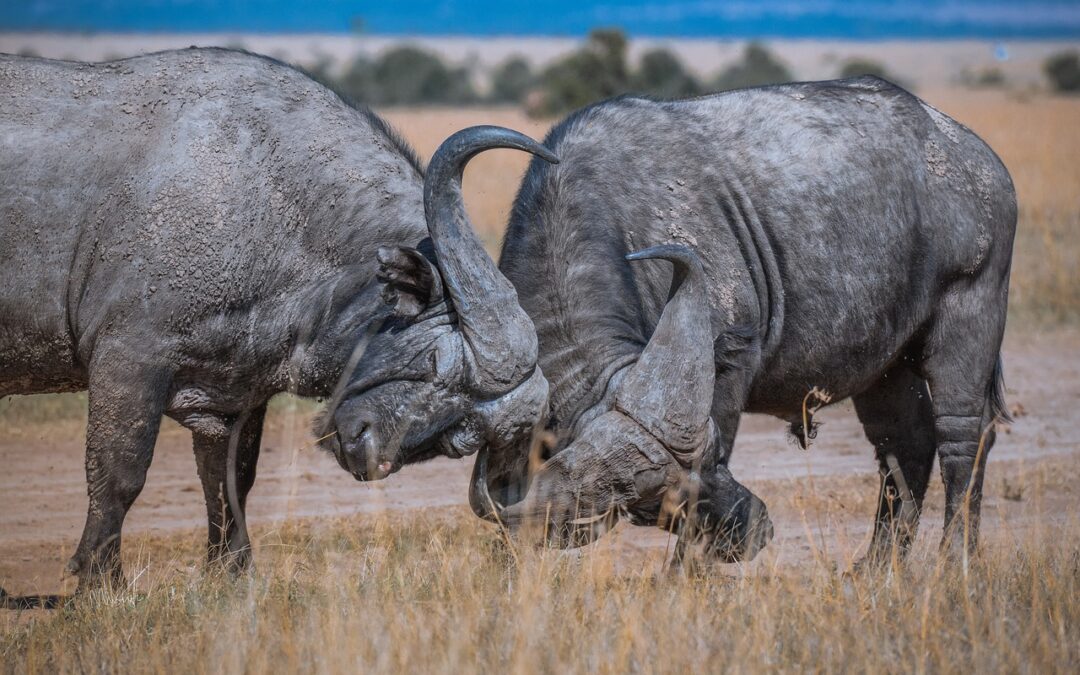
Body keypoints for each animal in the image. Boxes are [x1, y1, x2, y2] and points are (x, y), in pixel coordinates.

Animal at [0, 47, 552, 587]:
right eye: (435, 363)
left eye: (463, 436)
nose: (368, 449)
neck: (268, 200)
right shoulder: (128, 361)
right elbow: (119, 474)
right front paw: (99, 581)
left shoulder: (234, 399)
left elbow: (229, 483)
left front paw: (232, 574)